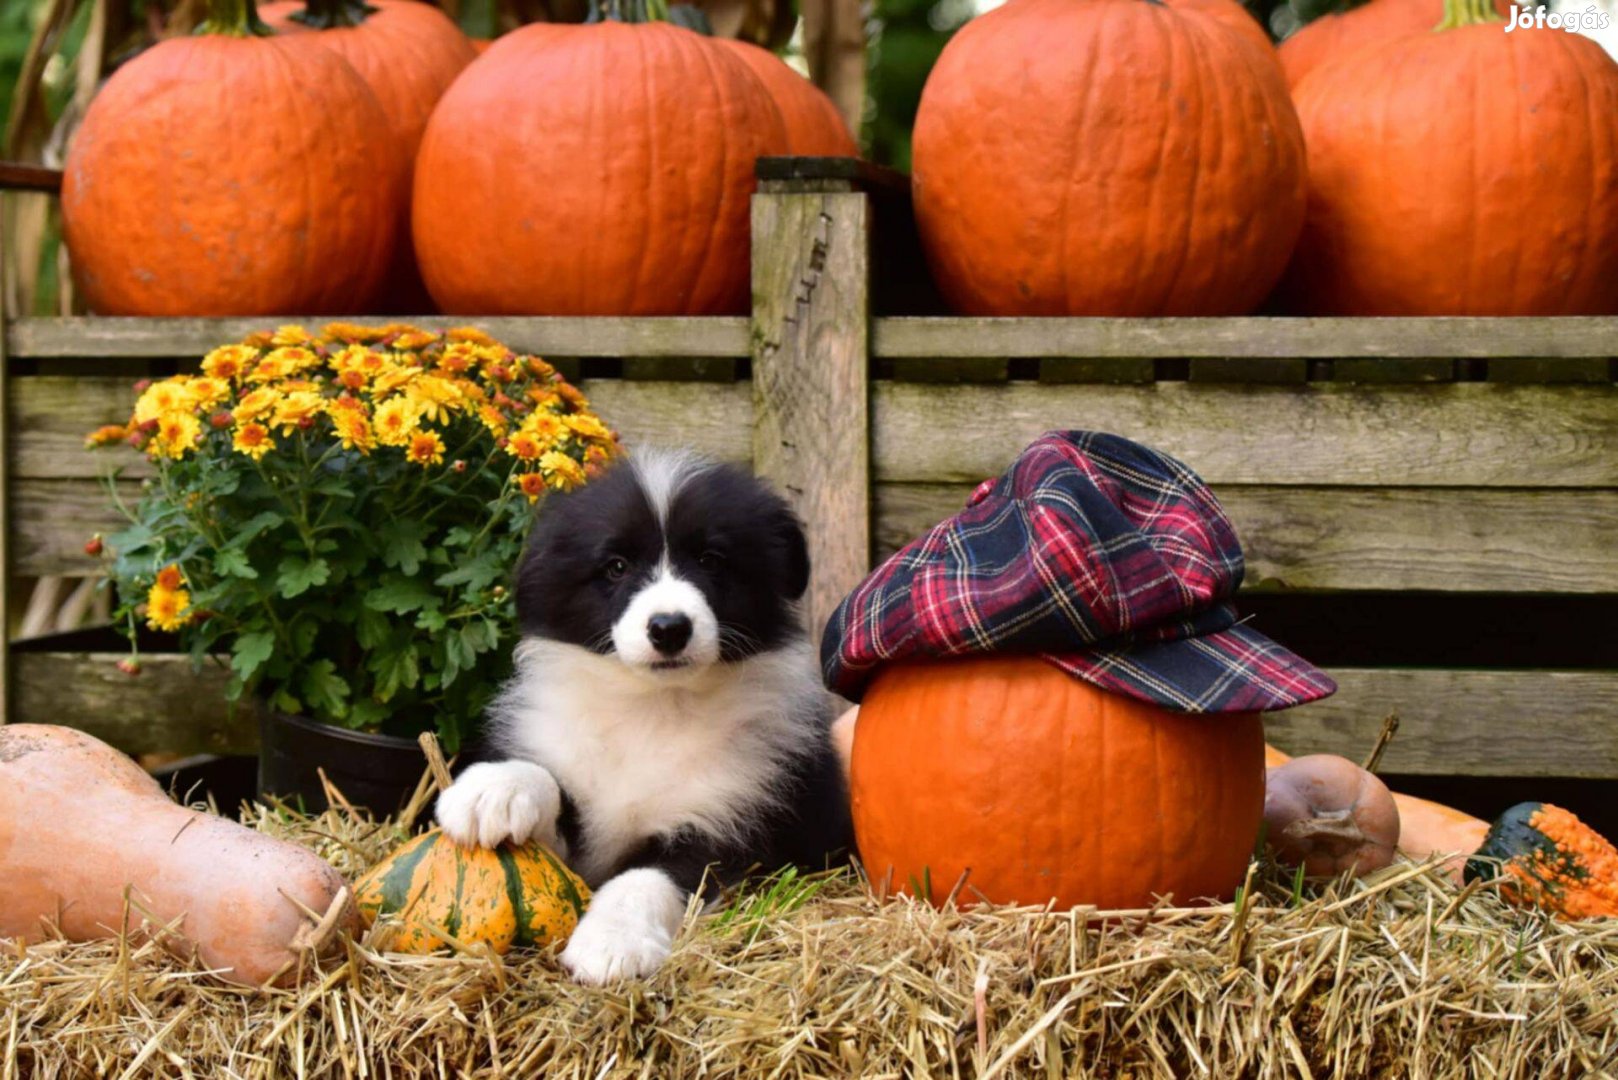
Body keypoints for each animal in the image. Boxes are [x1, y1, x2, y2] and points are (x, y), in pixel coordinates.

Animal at [436, 453, 854, 984]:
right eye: (616, 566)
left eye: (711, 560)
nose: (669, 628)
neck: (655, 706)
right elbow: (550, 785)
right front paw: (492, 790)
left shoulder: (732, 817)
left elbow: (648, 876)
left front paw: (612, 942)